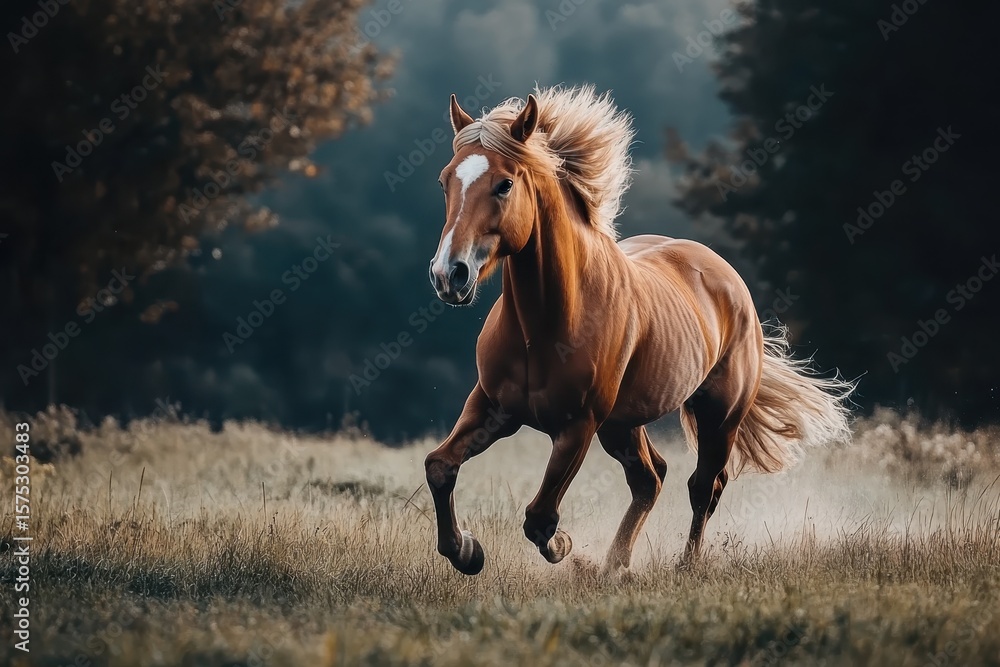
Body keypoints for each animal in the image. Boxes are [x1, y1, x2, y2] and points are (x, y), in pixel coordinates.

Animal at [424, 85, 853, 575]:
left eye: (504, 184)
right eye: (445, 181)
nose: (449, 275)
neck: (543, 327)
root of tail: (723, 273)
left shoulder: (577, 426)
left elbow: (540, 516)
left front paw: (563, 547)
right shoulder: (492, 407)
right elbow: (439, 466)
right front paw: (466, 552)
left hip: (716, 418)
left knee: (703, 487)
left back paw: (683, 565)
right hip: (623, 424)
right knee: (651, 479)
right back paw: (616, 564)